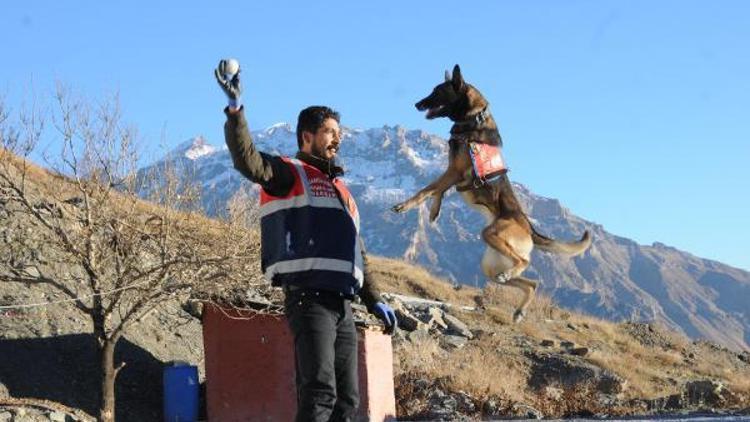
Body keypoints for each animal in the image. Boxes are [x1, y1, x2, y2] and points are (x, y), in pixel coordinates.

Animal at [394, 65, 592, 324]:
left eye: (438, 91)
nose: (417, 104)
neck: (473, 119)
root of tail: (529, 228)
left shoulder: (454, 171)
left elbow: (427, 189)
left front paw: (404, 206)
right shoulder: (452, 172)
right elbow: (438, 190)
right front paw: (434, 212)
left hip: (493, 234)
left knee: (524, 262)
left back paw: (513, 278)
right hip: (491, 264)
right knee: (532, 283)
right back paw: (518, 309)